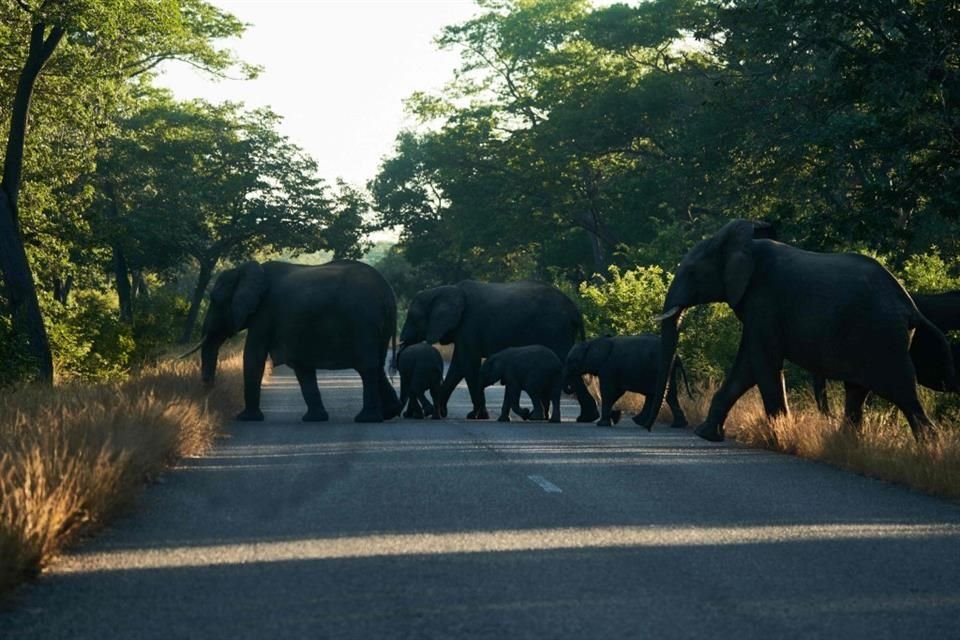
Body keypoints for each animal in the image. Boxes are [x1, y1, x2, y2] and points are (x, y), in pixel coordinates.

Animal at [195, 260, 402, 424]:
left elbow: (254, 356)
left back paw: (366, 419)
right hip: (377, 327)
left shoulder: (265, 313)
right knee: (376, 366)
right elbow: (302, 366)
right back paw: (389, 414)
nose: (208, 389)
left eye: (215, 300)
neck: (246, 270)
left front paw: (246, 418)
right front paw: (314, 419)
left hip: (363, 322)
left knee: (367, 368)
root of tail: (389, 293)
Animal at [400, 278, 600, 420]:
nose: (408, 414)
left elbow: (468, 364)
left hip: (554, 329)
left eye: (413, 317)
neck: (445, 289)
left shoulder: (469, 325)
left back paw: (586, 418)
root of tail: (575, 310)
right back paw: (585, 418)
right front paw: (441, 412)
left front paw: (477, 416)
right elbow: (458, 366)